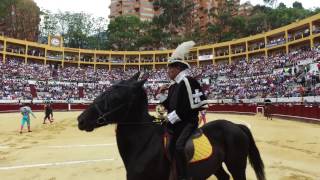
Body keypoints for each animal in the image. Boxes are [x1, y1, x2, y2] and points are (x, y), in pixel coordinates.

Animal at [77, 73, 264, 180]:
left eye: (115, 96)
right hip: (216, 165)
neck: (145, 144)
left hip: (237, 165)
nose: (81, 120)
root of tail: (236, 125)